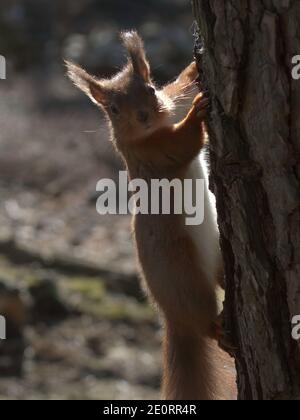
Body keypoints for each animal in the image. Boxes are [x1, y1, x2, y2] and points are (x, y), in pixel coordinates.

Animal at [65, 32, 225, 400]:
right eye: (113, 109)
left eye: (151, 89)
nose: (143, 116)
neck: (152, 131)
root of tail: (173, 320)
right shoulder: (152, 154)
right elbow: (184, 142)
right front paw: (197, 112)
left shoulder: (169, 103)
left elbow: (180, 88)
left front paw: (195, 67)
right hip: (187, 279)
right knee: (206, 322)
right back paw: (222, 331)